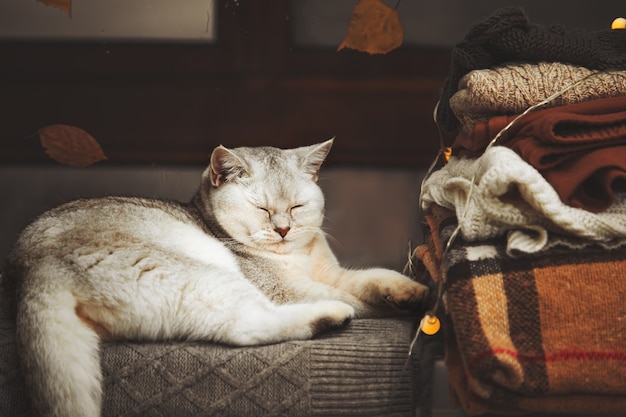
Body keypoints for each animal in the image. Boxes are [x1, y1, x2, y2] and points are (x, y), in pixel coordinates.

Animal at [0, 140, 426, 416]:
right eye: (262, 209)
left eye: (297, 207)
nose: (284, 229)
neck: (298, 257)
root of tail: (34, 268)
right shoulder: (285, 289)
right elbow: (358, 296)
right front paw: (403, 302)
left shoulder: (334, 272)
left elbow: (370, 277)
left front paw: (410, 289)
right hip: (205, 274)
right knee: (250, 326)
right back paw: (329, 315)